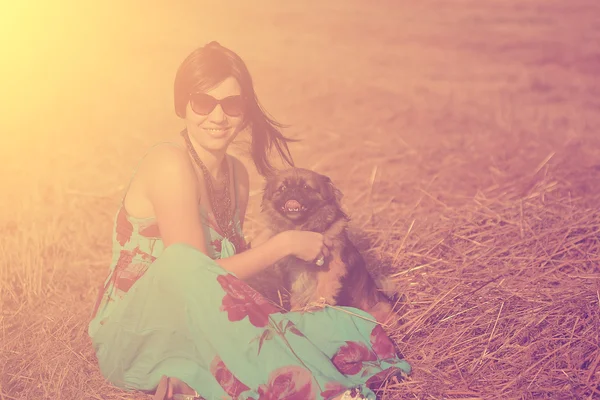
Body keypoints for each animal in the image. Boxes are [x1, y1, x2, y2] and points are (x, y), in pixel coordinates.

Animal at [258, 166, 398, 324]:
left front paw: (315, 308)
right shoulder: (298, 273)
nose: (292, 190)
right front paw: (297, 311)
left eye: (306, 187)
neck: (304, 228)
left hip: (379, 309)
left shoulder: (332, 267)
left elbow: (322, 292)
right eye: (282, 188)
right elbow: (299, 295)